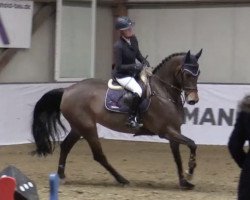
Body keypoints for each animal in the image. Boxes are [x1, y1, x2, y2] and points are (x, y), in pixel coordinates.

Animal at [31, 49, 201, 189]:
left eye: (198, 73)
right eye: (187, 74)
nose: (193, 100)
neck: (163, 93)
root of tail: (67, 90)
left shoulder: (174, 131)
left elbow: (178, 157)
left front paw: (184, 181)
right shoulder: (166, 131)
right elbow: (192, 144)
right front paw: (191, 171)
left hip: (78, 127)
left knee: (66, 146)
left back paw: (61, 176)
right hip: (88, 127)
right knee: (98, 155)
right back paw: (122, 179)